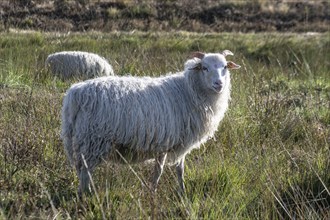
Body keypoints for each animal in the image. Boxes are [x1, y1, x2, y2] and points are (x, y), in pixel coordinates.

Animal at [61, 50, 240, 194]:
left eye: (225, 67)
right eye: (204, 67)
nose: (219, 84)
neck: (189, 90)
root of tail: (75, 95)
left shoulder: (179, 141)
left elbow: (180, 169)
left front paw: (182, 192)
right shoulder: (166, 142)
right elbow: (159, 171)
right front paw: (152, 191)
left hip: (81, 140)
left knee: (82, 171)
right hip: (93, 140)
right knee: (85, 172)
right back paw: (87, 195)